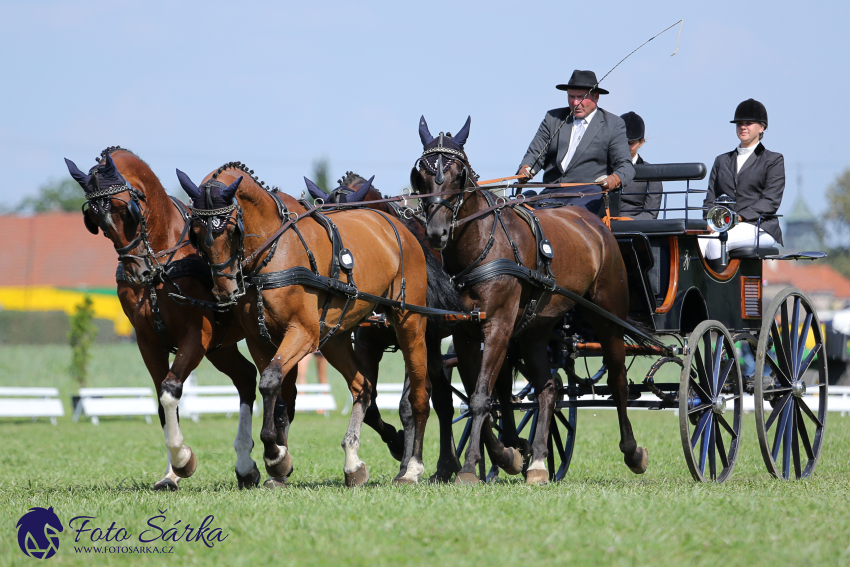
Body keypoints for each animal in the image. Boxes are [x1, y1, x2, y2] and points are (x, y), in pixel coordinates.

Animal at [64, 149, 258, 490]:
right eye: (97, 222)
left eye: (126, 210)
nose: (136, 272)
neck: (163, 264)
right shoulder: (148, 341)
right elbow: (162, 402)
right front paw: (171, 474)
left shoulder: (197, 335)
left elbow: (170, 390)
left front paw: (183, 460)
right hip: (221, 347)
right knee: (247, 378)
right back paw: (247, 467)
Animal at [176, 169, 434, 488]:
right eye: (196, 233)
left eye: (231, 229)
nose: (225, 290)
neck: (274, 252)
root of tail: (399, 227)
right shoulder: (260, 340)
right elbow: (277, 394)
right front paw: (280, 464)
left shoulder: (303, 334)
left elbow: (270, 382)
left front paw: (275, 456)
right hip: (335, 337)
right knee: (362, 387)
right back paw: (353, 463)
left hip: (410, 323)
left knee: (419, 396)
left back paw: (412, 467)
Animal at [408, 116, 644, 484]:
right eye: (420, 174)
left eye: (458, 174)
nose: (436, 233)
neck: (481, 247)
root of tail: (596, 224)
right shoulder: (464, 333)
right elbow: (480, 397)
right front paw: (508, 455)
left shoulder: (499, 326)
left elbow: (481, 397)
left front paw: (472, 466)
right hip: (536, 329)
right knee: (548, 388)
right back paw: (538, 463)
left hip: (608, 316)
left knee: (618, 381)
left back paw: (632, 452)